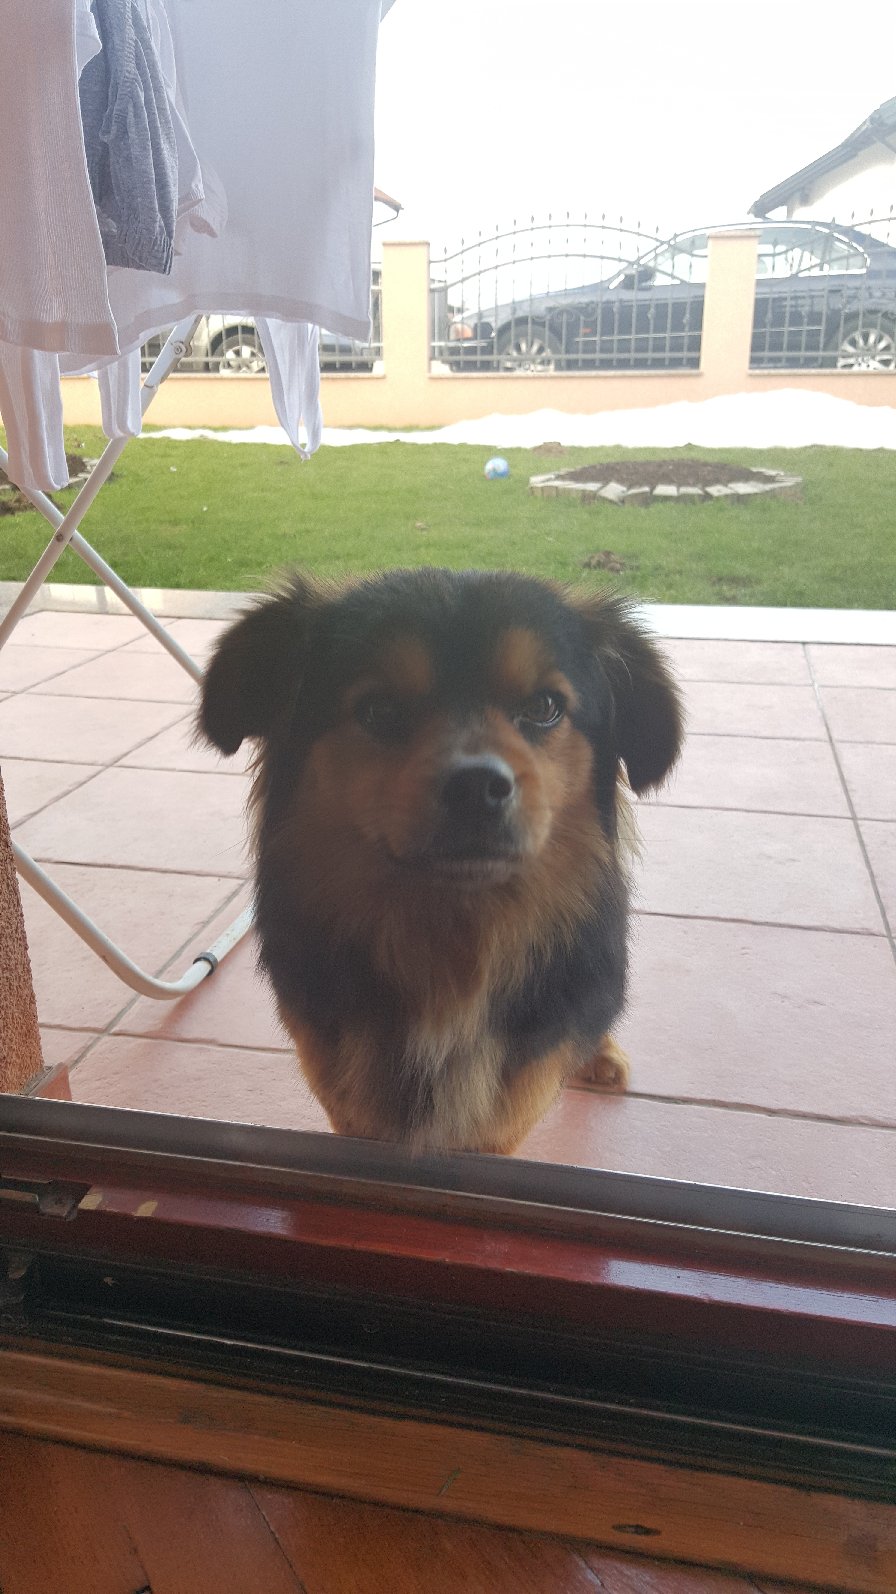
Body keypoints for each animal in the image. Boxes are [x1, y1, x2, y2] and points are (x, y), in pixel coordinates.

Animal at [199, 568, 683, 1154]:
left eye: (544, 707)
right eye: (379, 710)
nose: (477, 787)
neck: (455, 942)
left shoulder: (507, 1113)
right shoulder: (344, 1093)